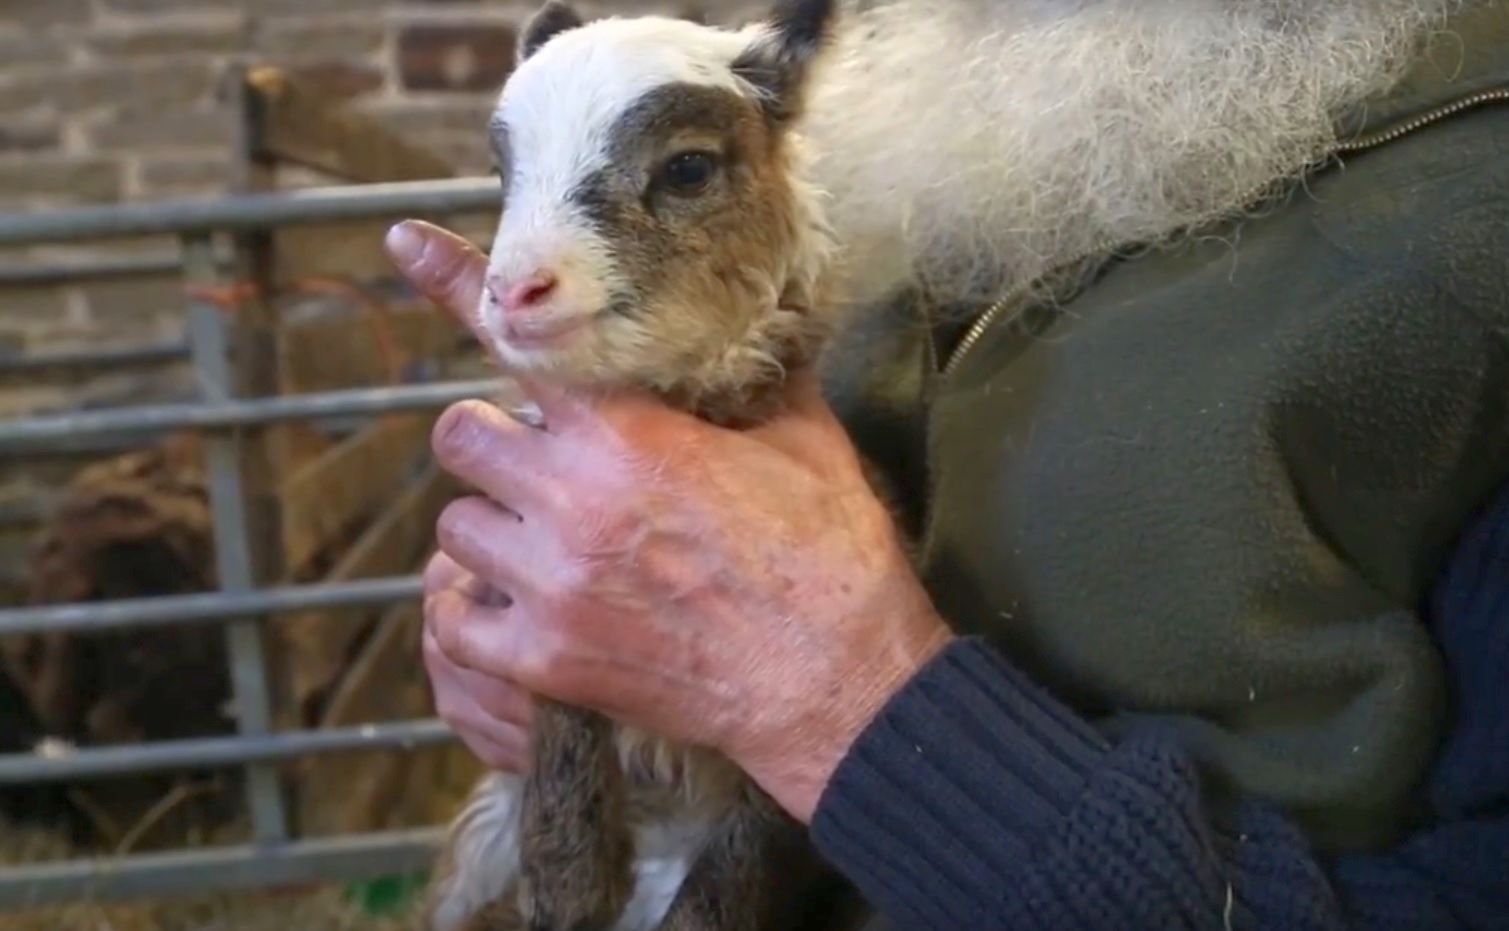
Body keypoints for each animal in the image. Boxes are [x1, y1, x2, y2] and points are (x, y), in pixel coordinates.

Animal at [419, 1, 869, 929]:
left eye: (689, 166)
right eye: (502, 171)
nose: (514, 291)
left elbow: (741, 859)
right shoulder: (534, 599)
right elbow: (560, 744)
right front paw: (568, 883)